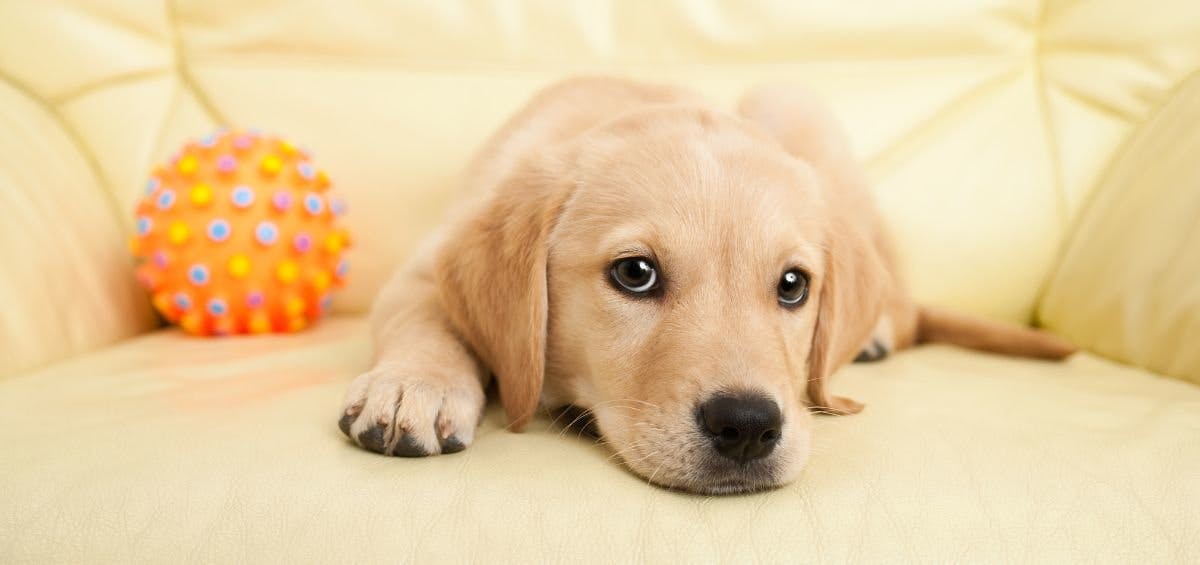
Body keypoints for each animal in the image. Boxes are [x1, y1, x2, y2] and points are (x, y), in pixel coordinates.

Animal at [333, 76, 1075, 494]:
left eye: (793, 286)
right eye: (635, 274)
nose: (747, 427)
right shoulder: (424, 265)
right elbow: (426, 316)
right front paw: (416, 385)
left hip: (795, 104)